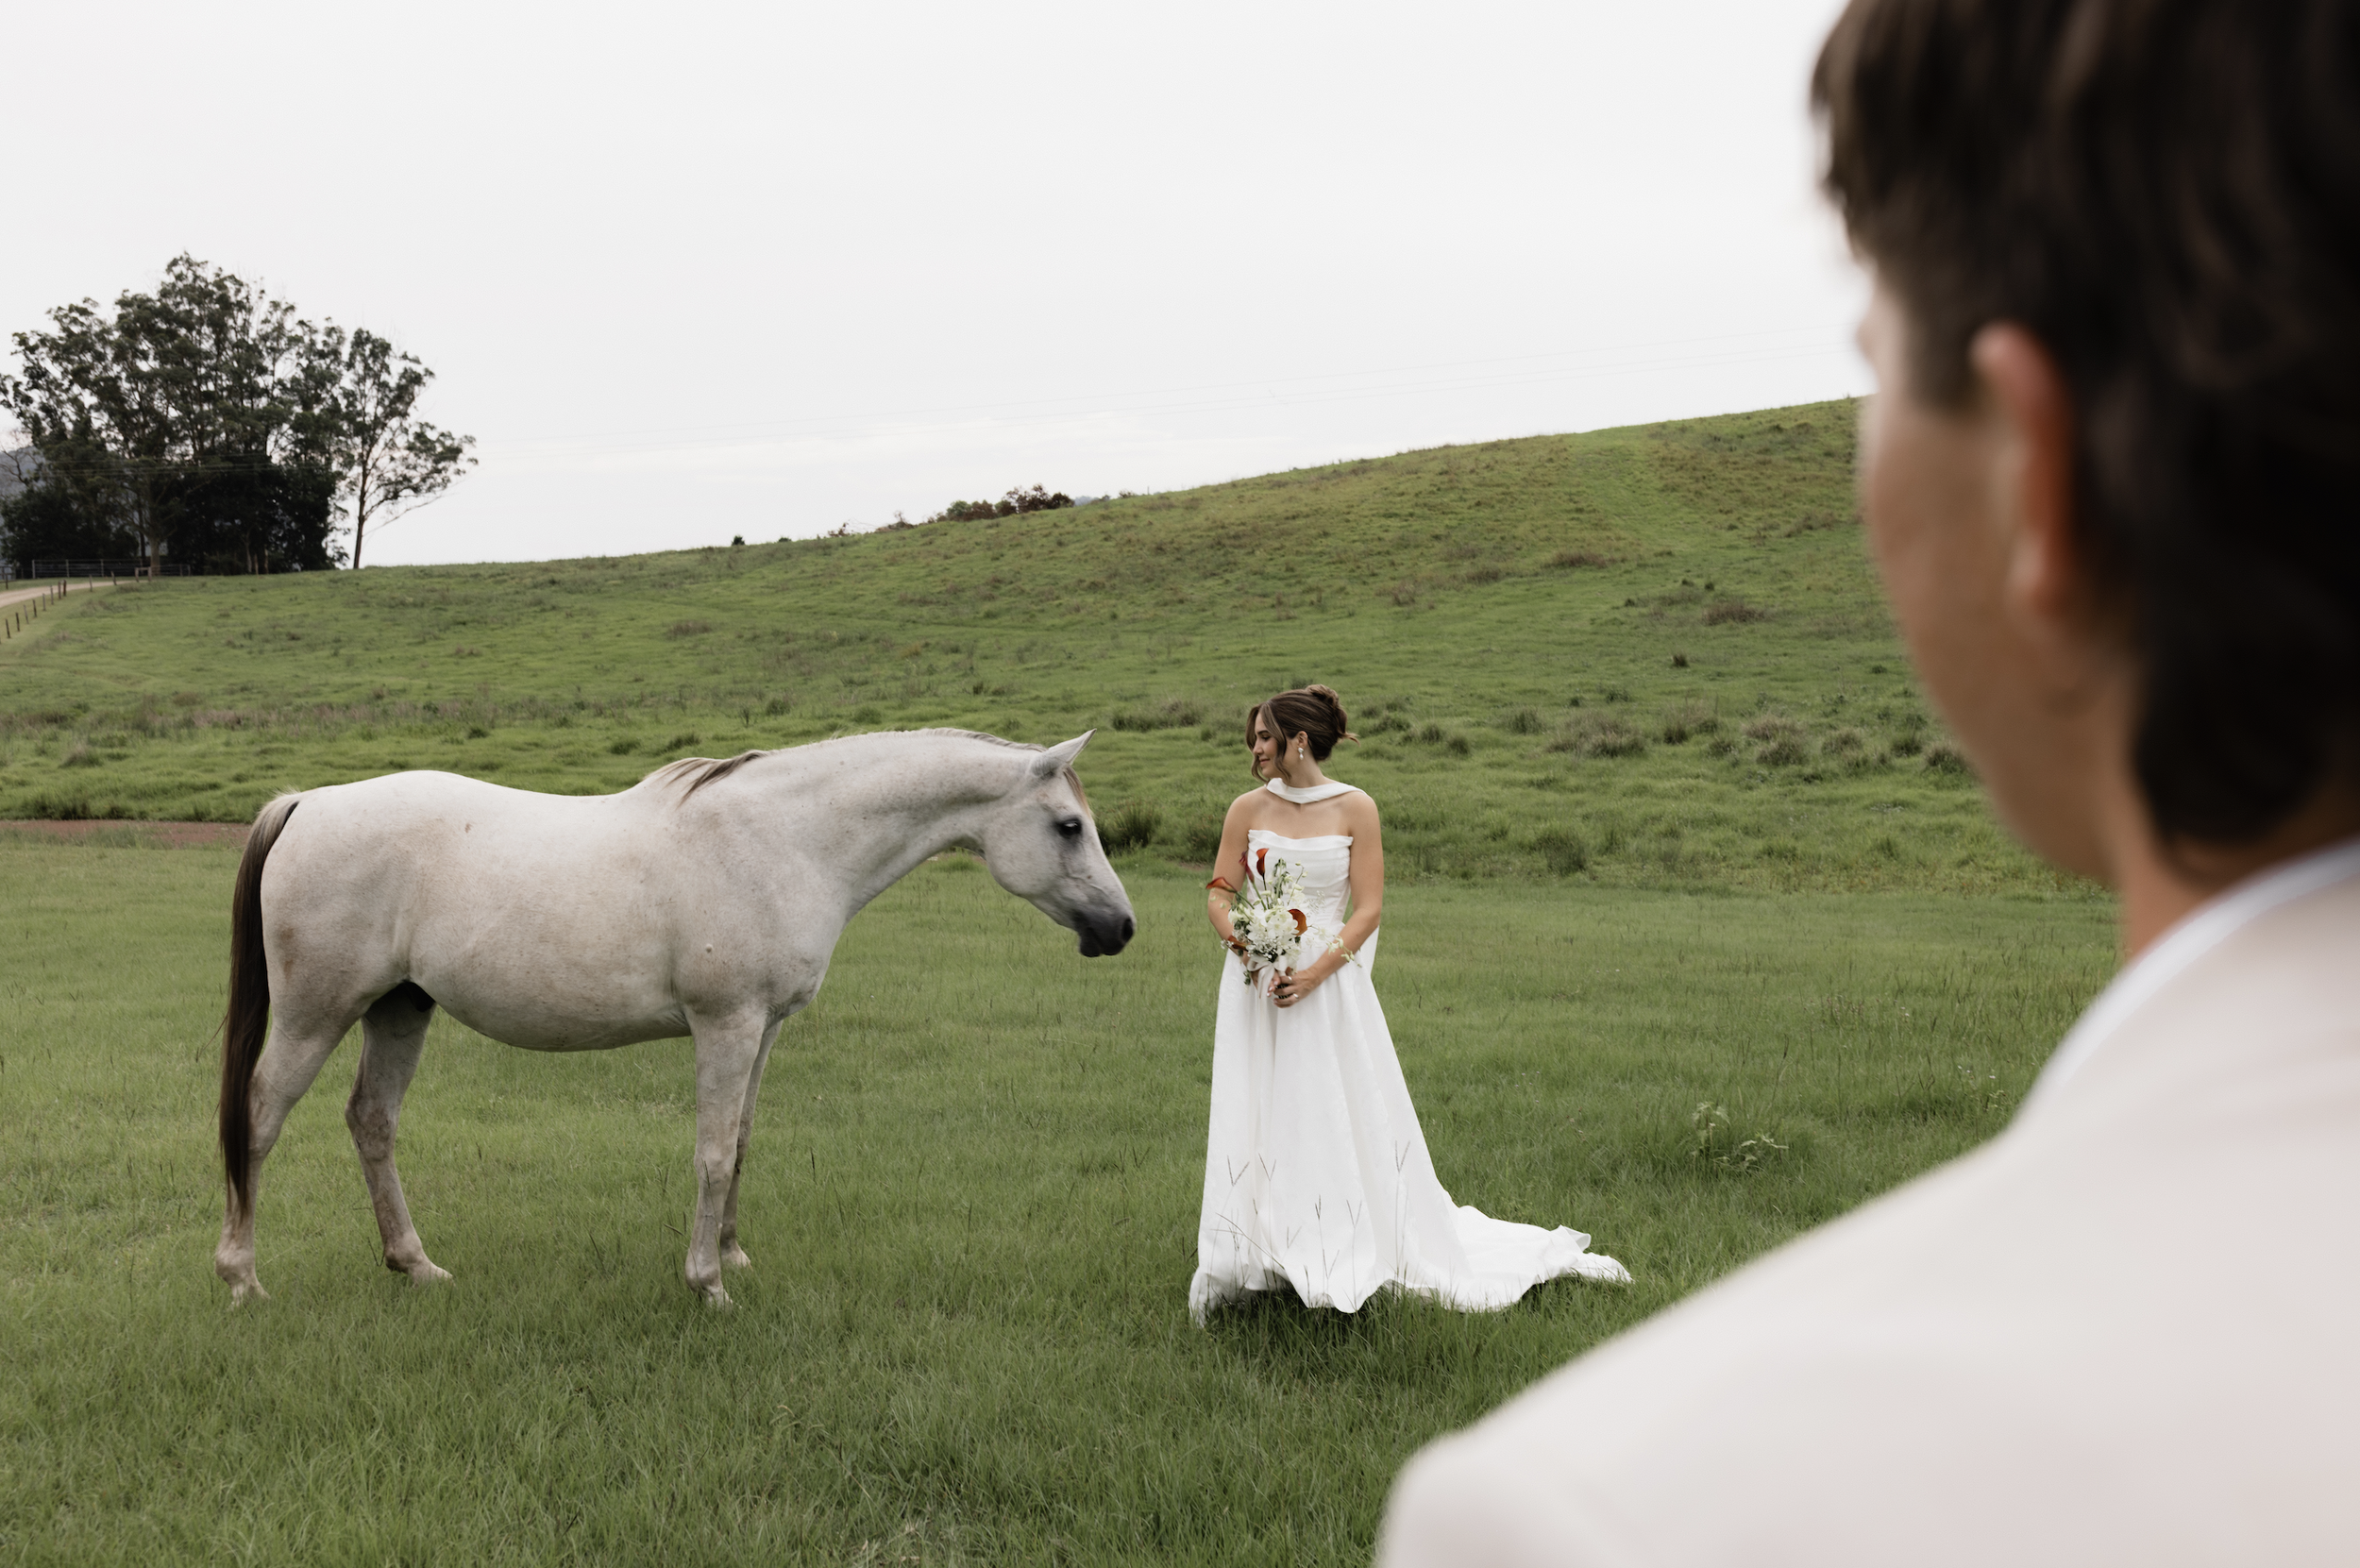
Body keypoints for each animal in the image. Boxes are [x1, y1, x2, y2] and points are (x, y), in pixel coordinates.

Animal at [213, 727, 1135, 1306]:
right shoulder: (725, 1024)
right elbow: (713, 1151)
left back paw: (416, 1265)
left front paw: (732, 1254)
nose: (1121, 928)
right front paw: (706, 1283)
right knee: (258, 1119)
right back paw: (243, 1277)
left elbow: (744, 1143)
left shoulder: (764, 1028)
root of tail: (307, 802)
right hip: (317, 1012)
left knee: (372, 1121)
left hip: (400, 1009)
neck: (786, 840)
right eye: (1068, 826)